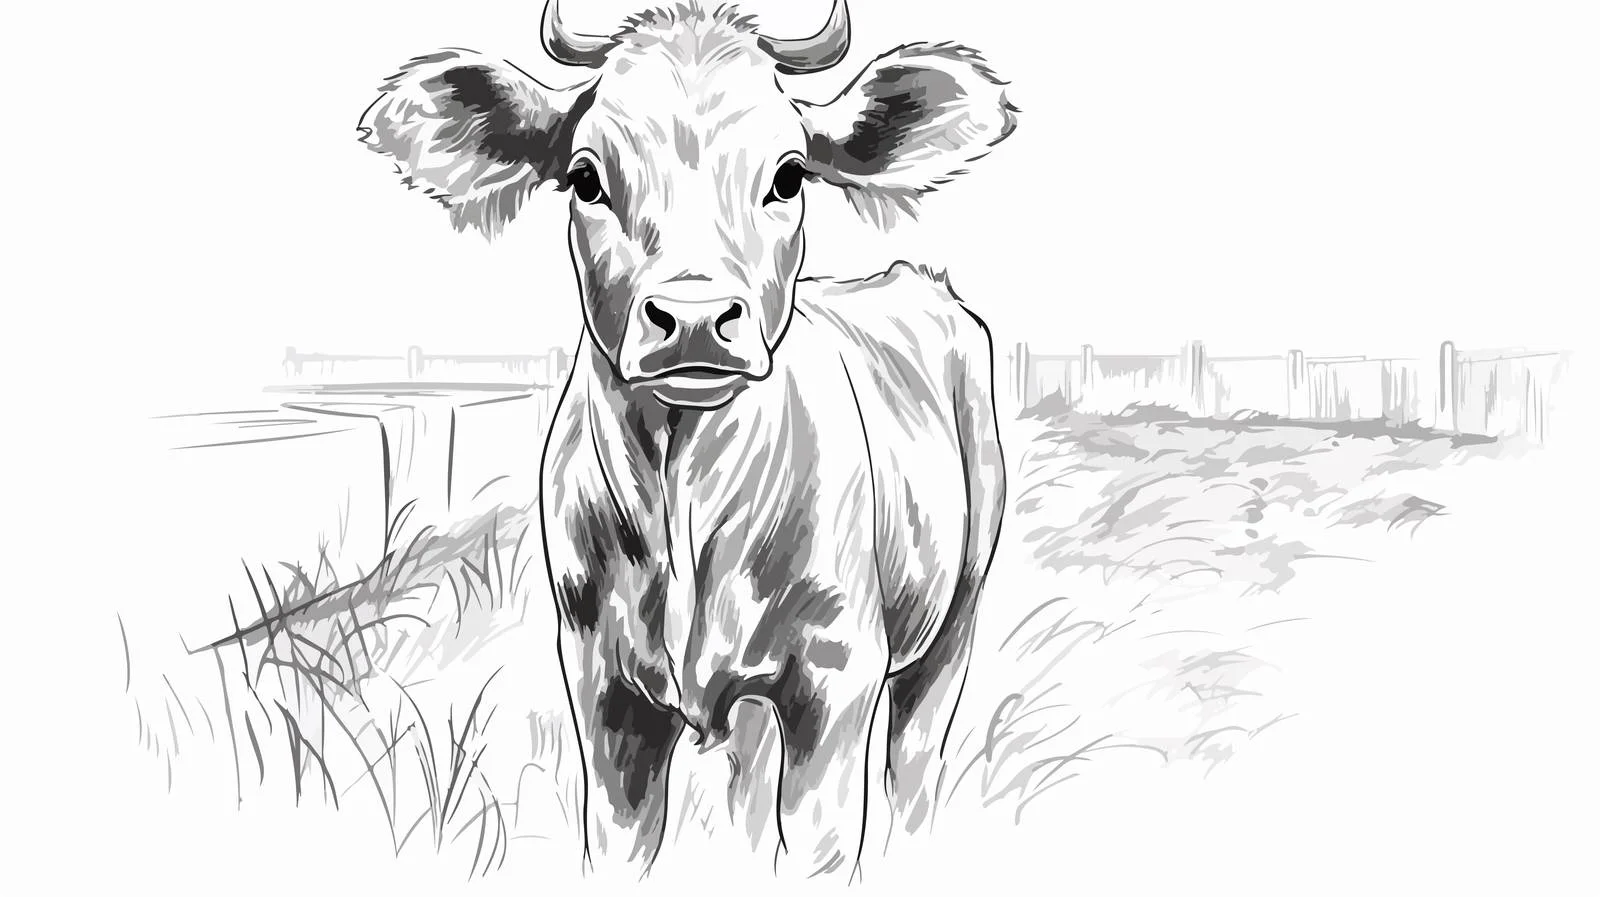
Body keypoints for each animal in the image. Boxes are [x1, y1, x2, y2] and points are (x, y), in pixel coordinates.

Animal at [357, 0, 1015, 881]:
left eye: (789, 176)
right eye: (587, 178)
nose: (696, 318)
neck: (688, 507)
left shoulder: (838, 680)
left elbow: (821, 849)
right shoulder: (603, 688)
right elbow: (620, 845)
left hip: (953, 623)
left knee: (914, 766)